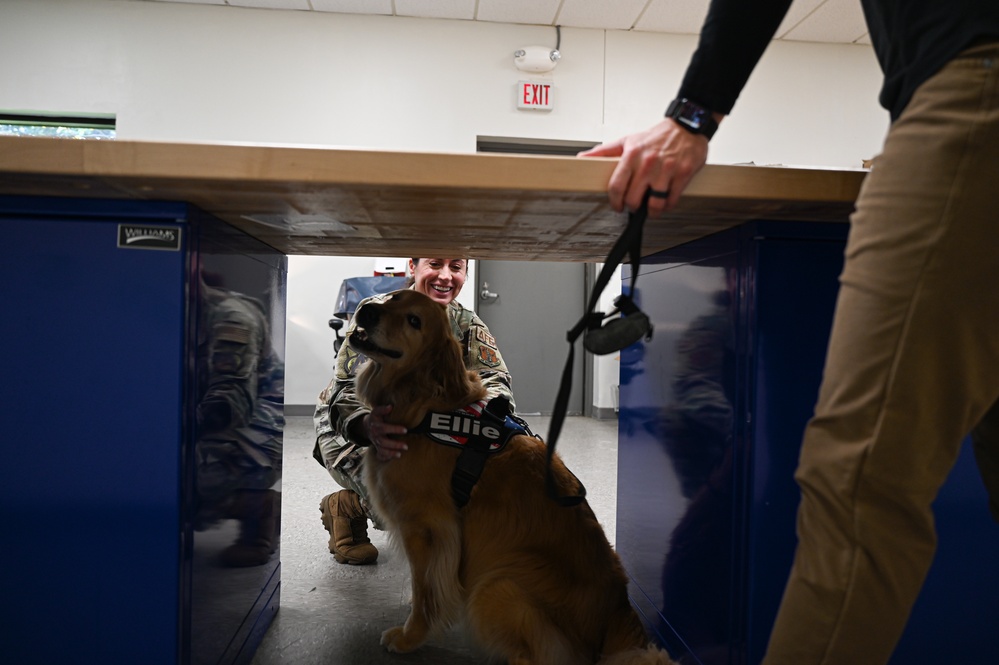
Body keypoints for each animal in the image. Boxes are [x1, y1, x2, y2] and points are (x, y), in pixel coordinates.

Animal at [346, 290, 680, 664]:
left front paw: (409, 636)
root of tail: (619, 613)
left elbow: (426, 593)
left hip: (496, 586)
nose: (367, 310)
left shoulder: (429, 529)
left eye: (414, 320)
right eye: (391, 297)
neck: (423, 403)